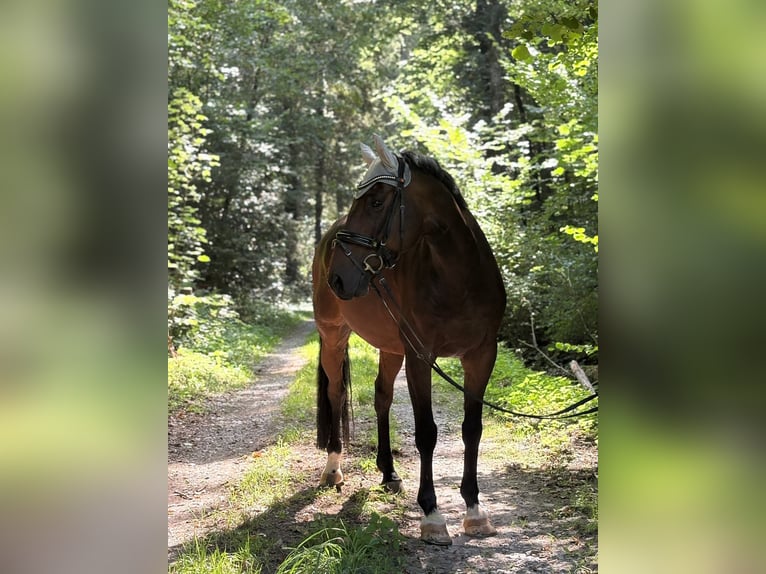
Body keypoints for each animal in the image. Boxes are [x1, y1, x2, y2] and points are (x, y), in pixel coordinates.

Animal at [311, 134, 507, 546]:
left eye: (376, 202)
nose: (338, 277)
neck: (457, 278)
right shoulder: (420, 357)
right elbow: (427, 433)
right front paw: (432, 514)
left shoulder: (482, 356)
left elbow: (472, 429)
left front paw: (474, 509)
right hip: (333, 336)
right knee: (336, 393)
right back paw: (333, 467)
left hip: (390, 347)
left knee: (381, 396)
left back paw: (388, 471)